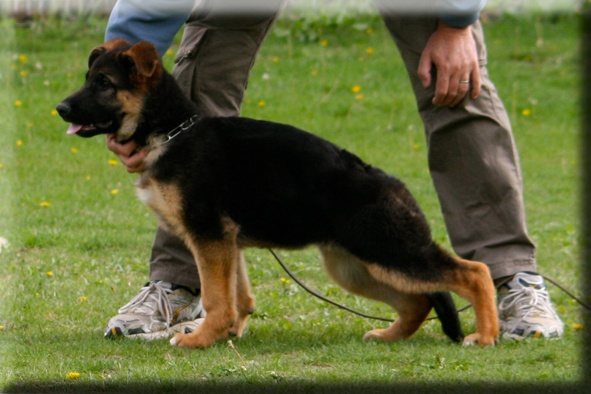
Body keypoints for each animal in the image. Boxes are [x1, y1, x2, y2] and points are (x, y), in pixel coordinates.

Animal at [56, 39, 500, 348]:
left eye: (104, 84)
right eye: (88, 80)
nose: (60, 109)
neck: (171, 131)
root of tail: (393, 183)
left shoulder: (208, 236)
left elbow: (216, 298)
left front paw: (200, 339)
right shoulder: (226, 243)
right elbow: (237, 296)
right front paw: (226, 333)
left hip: (390, 250)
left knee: (474, 272)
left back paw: (487, 335)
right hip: (356, 265)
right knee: (418, 301)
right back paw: (389, 336)